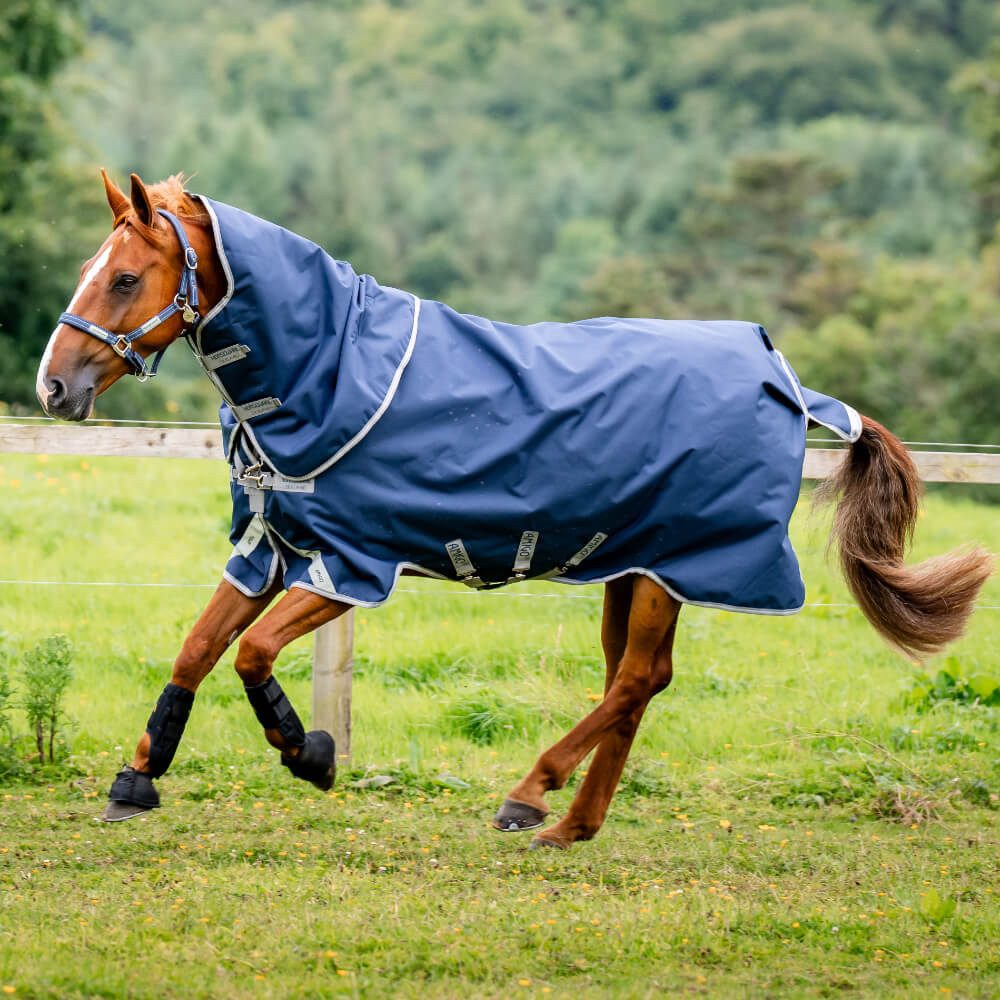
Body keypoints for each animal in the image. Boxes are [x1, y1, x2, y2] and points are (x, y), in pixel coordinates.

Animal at [36, 171, 992, 848]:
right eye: (87, 271)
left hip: (672, 566)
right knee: (638, 680)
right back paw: (572, 826)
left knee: (636, 680)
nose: (54, 387)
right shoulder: (274, 547)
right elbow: (198, 648)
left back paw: (531, 795)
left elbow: (252, 654)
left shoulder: (352, 565)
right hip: (635, 563)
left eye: (125, 277)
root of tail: (784, 376)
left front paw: (310, 754)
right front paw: (137, 780)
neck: (329, 372)